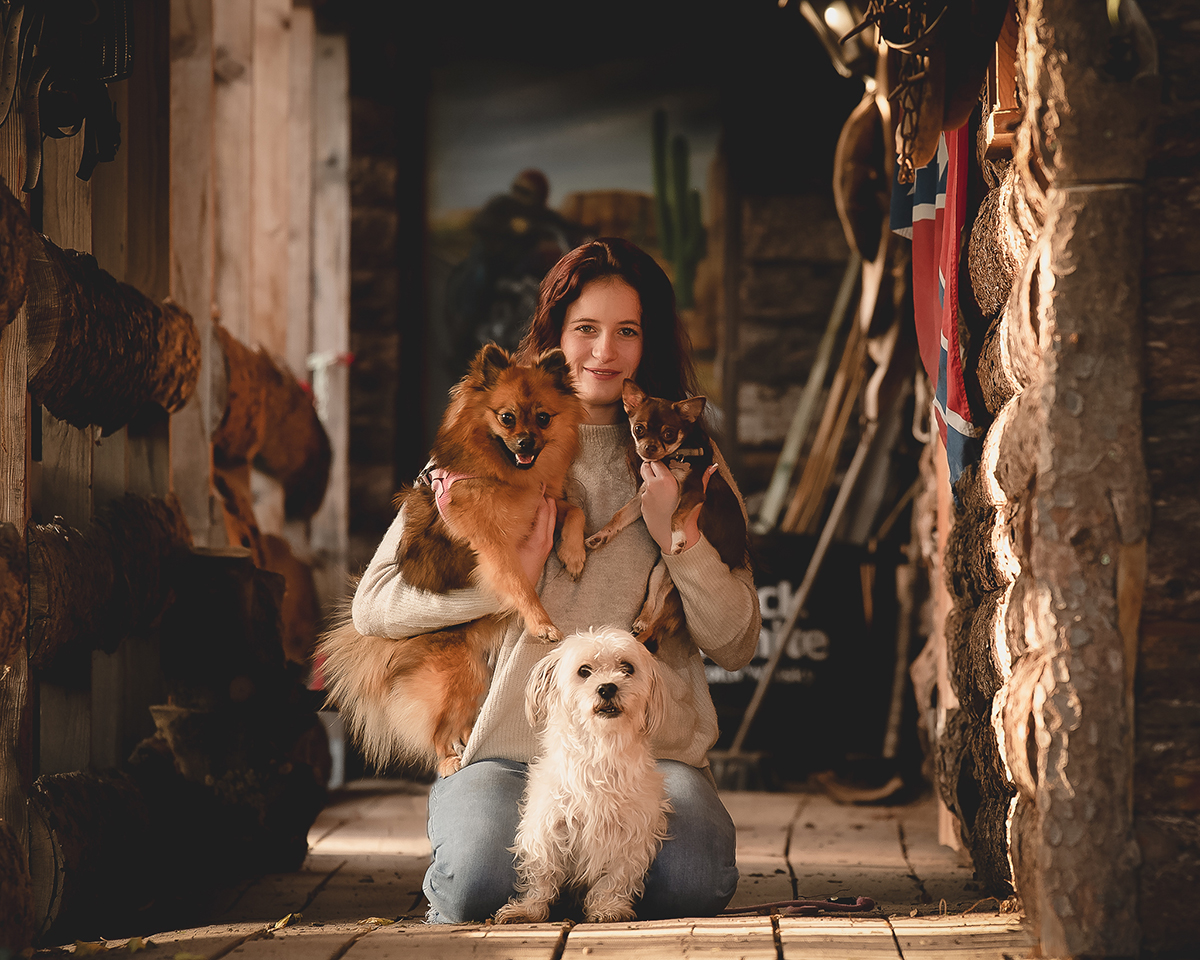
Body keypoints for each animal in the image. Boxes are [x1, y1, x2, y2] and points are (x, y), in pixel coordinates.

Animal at [316, 340, 583, 777]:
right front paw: (541, 622)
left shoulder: (545, 503)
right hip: (456, 675)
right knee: (437, 730)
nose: (526, 443)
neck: (506, 476)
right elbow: (519, 583)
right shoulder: (494, 545)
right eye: (507, 418)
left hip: (472, 675)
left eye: (543, 419)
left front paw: (574, 553)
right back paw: (448, 761)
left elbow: (575, 510)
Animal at [492, 624, 672, 926]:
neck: (600, 750)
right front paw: (529, 910)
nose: (607, 687)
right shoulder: (547, 828)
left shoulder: (632, 833)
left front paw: (608, 907)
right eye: (584, 671)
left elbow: (616, 877)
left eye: (627, 668)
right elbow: (542, 874)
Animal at [585, 381, 744, 662]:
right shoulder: (642, 499)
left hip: (676, 597)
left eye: (669, 434)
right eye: (639, 429)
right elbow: (619, 515)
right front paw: (600, 536)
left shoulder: (693, 492)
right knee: (653, 605)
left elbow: (675, 515)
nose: (649, 448)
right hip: (659, 574)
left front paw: (679, 538)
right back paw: (640, 621)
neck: (673, 459)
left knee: (655, 627)